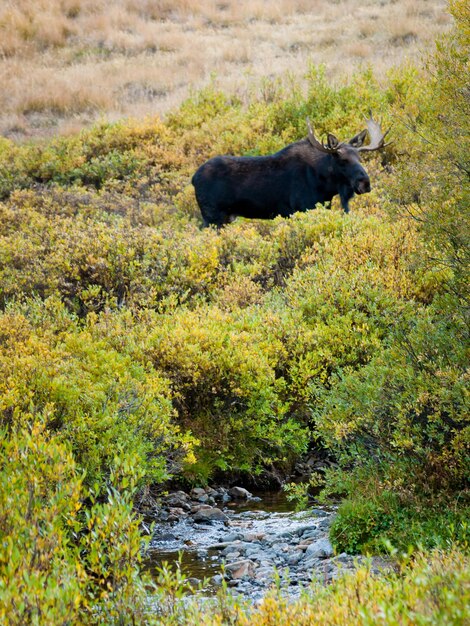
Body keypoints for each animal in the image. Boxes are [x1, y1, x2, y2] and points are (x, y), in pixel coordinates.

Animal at [192, 114, 390, 227]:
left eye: (360, 157)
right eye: (341, 159)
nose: (365, 183)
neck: (325, 186)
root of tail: (193, 179)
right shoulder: (301, 209)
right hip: (212, 218)